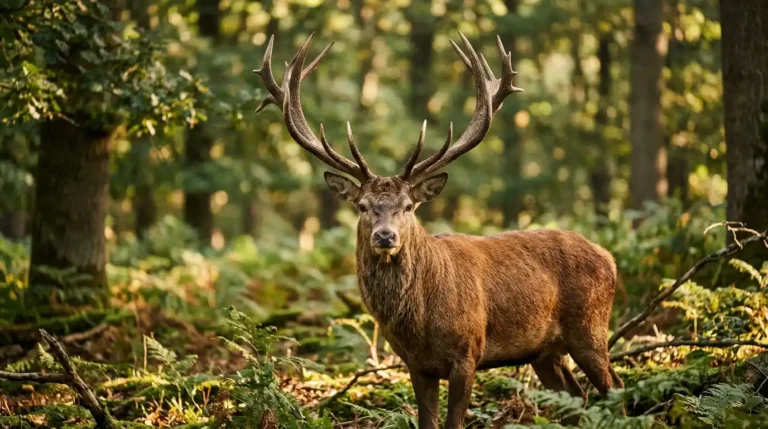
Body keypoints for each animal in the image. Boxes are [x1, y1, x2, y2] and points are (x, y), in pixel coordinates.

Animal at [255, 32, 624, 429]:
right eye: (363, 206)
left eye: (408, 206)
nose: (385, 236)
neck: (419, 324)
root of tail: (609, 257)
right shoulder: (417, 365)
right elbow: (427, 421)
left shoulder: (468, 353)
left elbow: (453, 422)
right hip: (544, 351)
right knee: (577, 395)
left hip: (590, 326)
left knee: (614, 388)